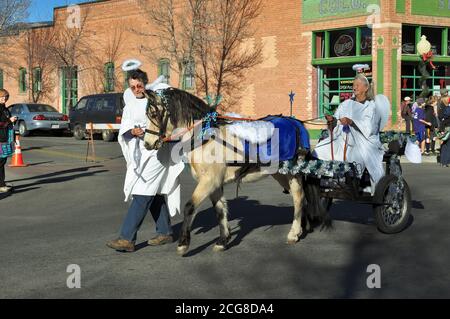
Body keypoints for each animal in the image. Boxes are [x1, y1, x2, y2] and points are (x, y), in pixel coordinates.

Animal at [142, 88, 328, 258]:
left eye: (154, 113)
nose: (147, 144)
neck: (206, 137)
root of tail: (295, 122)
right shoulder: (215, 184)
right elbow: (220, 210)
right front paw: (223, 240)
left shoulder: (208, 181)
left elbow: (189, 207)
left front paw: (183, 244)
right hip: (280, 174)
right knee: (300, 198)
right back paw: (303, 227)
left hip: (292, 173)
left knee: (298, 198)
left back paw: (294, 233)